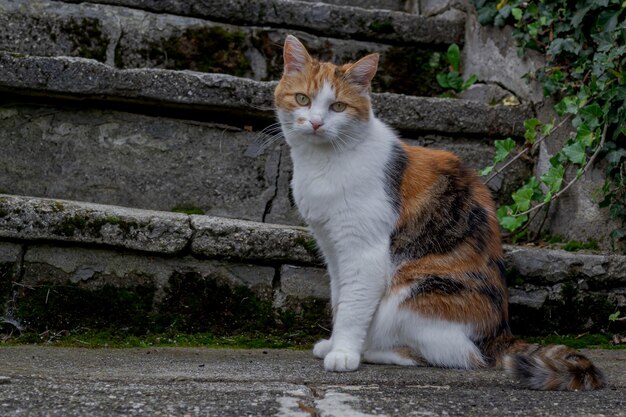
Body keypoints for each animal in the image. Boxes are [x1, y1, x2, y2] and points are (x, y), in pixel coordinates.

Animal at [272, 35, 604, 390]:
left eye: (338, 107)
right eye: (303, 99)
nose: (316, 123)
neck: (323, 162)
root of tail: (501, 335)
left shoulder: (363, 252)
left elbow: (353, 305)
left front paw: (345, 353)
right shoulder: (332, 246)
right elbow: (340, 299)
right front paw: (334, 344)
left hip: (412, 294)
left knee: (456, 356)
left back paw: (373, 351)